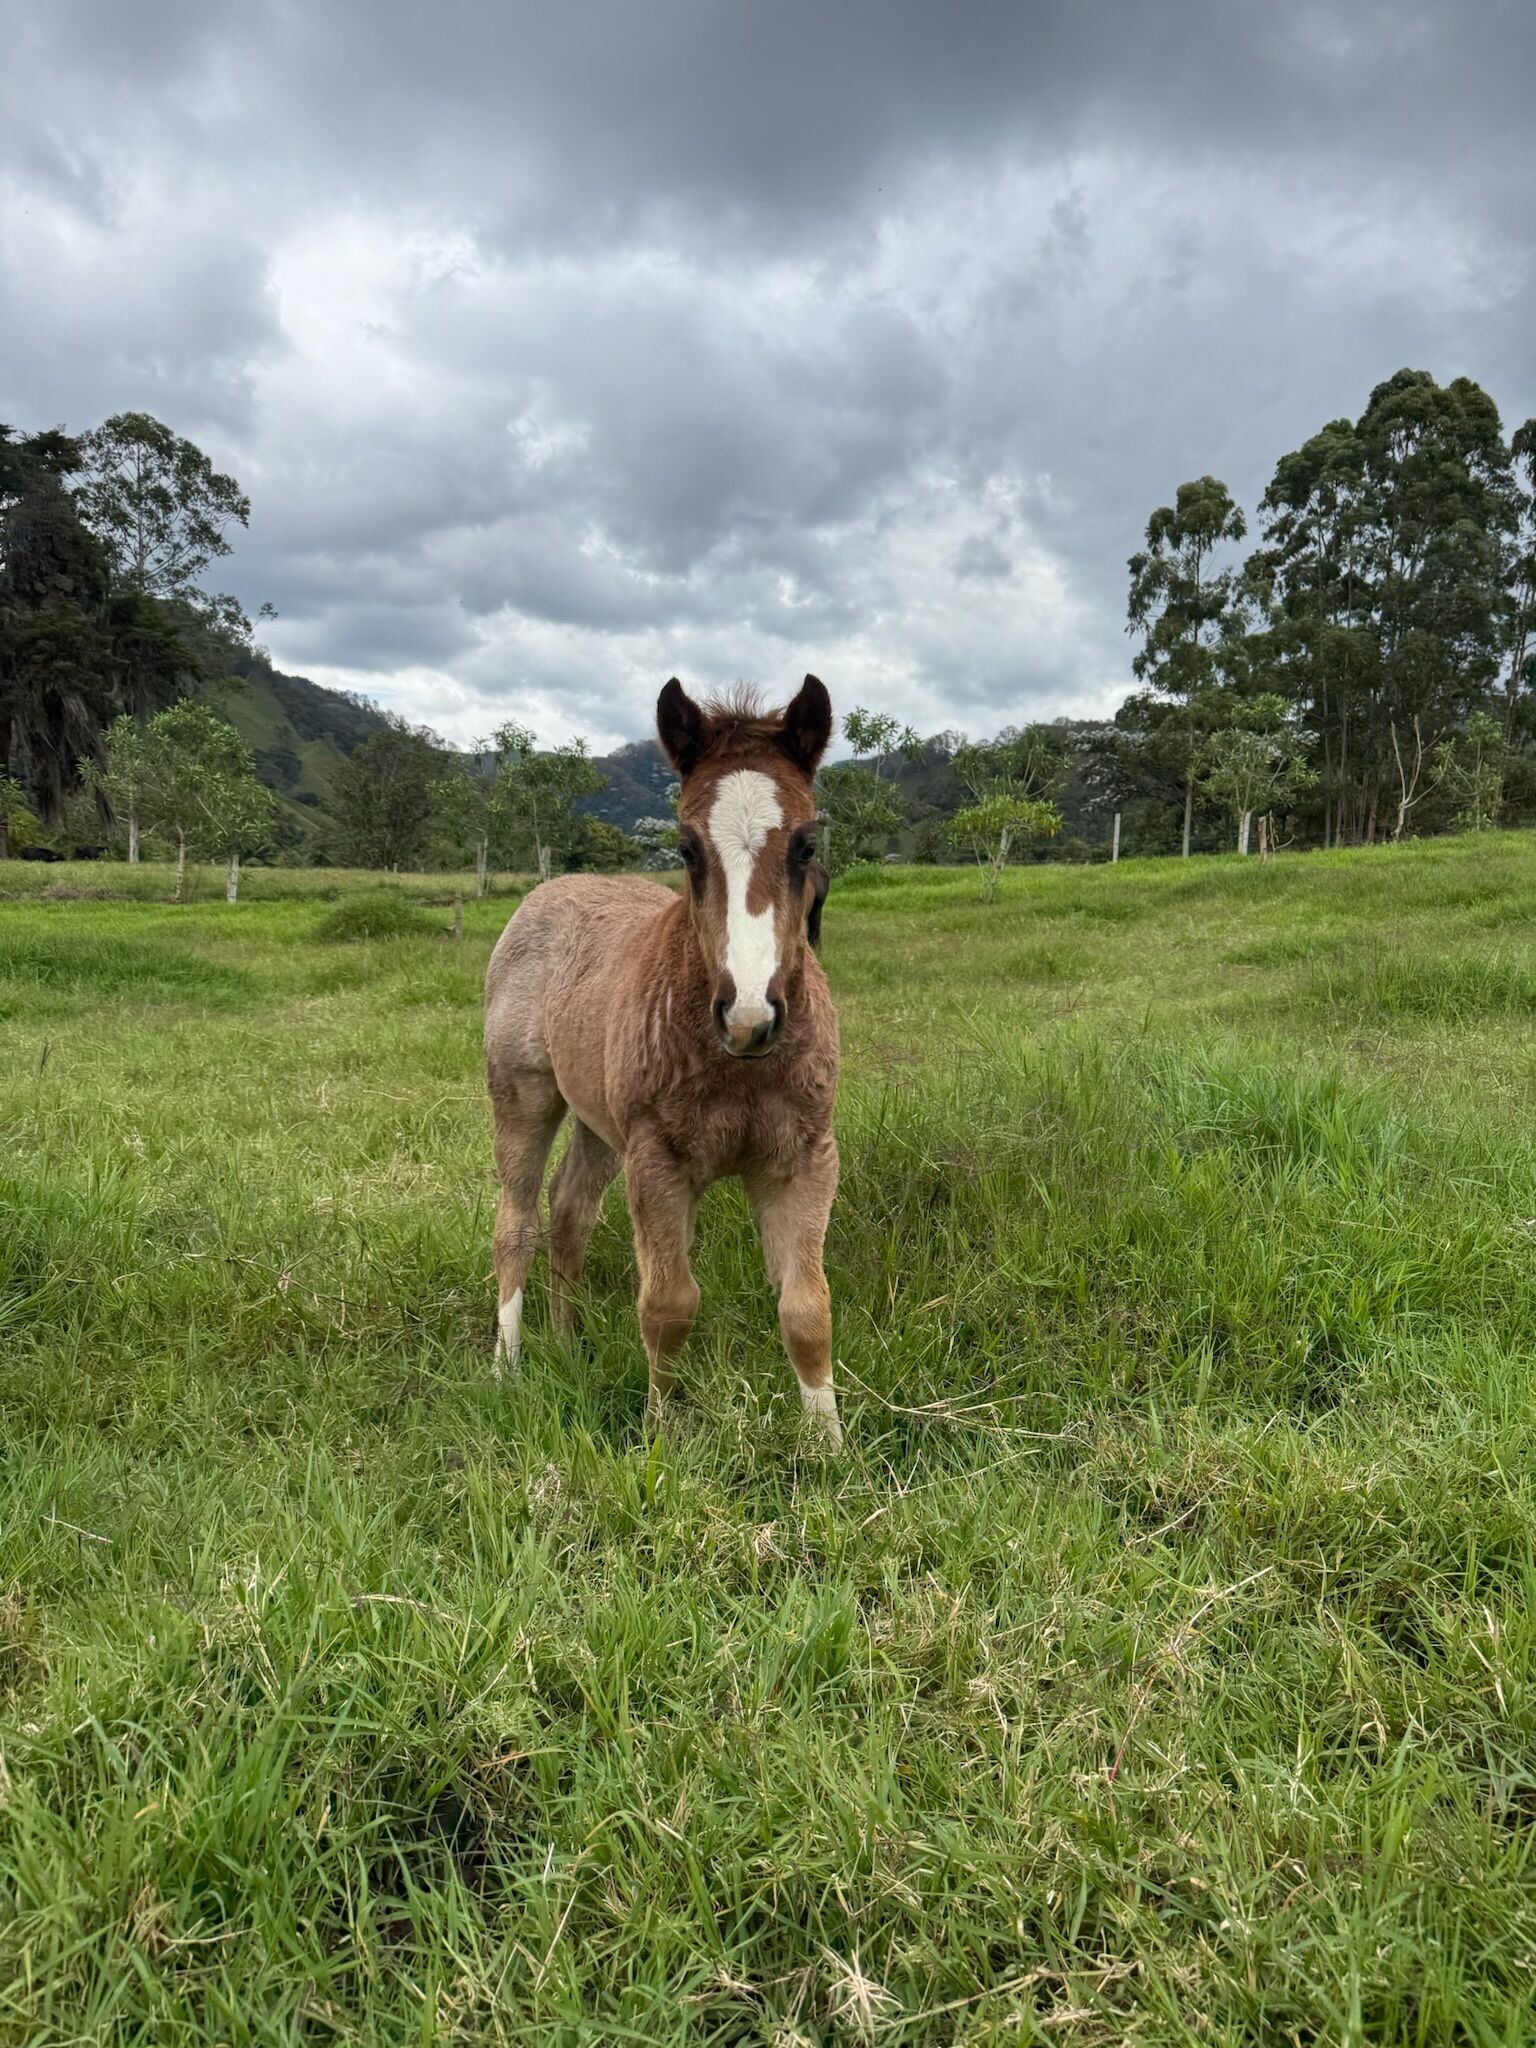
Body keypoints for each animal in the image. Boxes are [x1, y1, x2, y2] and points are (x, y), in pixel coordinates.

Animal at [484, 674, 842, 1444]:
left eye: (805, 845)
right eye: (685, 848)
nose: (748, 1016)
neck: (740, 1068)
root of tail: (548, 891)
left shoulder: (805, 1158)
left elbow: (807, 1310)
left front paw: (832, 1448)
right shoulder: (657, 1163)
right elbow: (668, 1306)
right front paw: (662, 1438)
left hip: (598, 1123)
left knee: (568, 1212)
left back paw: (570, 1345)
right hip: (523, 1095)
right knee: (517, 1224)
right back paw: (508, 1367)